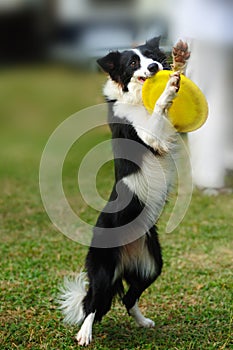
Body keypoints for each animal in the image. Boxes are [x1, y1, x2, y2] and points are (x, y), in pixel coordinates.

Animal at [59, 37, 186, 344]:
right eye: (132, 62)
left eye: (151, 56)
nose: (154, 68)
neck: (137, 96)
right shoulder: (148, 134)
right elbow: (157, 113)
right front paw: (169, 88)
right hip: (104, 271)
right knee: (93, 303)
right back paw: (84, 334)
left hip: (151, 265)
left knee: (129, 298)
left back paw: (143, 322)